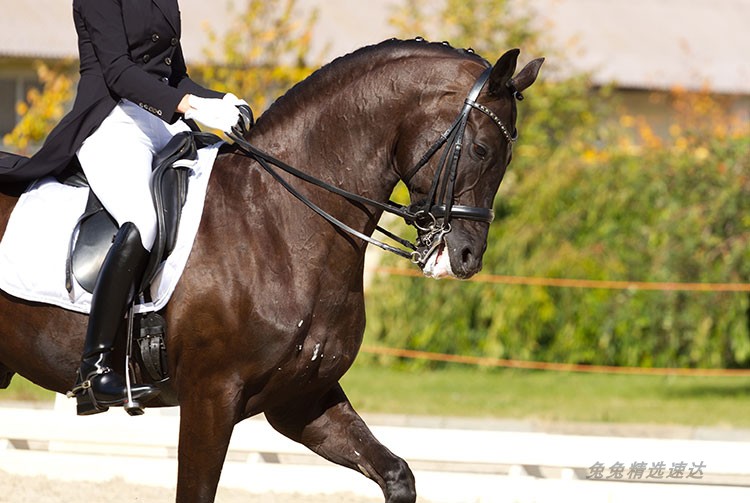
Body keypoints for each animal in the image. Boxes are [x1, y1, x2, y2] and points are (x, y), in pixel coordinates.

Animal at [0, 40, 540, 503]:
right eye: (481, 150)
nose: (466, 257)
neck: (277, 221)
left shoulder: (301, 399)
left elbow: (396, 474)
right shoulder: (210, 398)